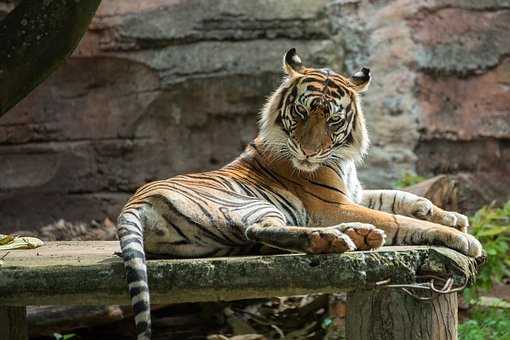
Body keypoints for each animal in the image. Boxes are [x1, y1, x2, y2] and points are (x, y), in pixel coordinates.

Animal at [117, 48, 484, 340]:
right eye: (301, 112)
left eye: (333, 120)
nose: (308, 153)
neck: (340, 160)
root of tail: (135, 203)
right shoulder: (333, 204)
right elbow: (396, 218)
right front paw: (464, 239)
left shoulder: (353, 193)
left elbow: (404, 199)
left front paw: (455, 218)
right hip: (250, 205)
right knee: (262, 230)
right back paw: (336, 239)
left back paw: (359, 235)